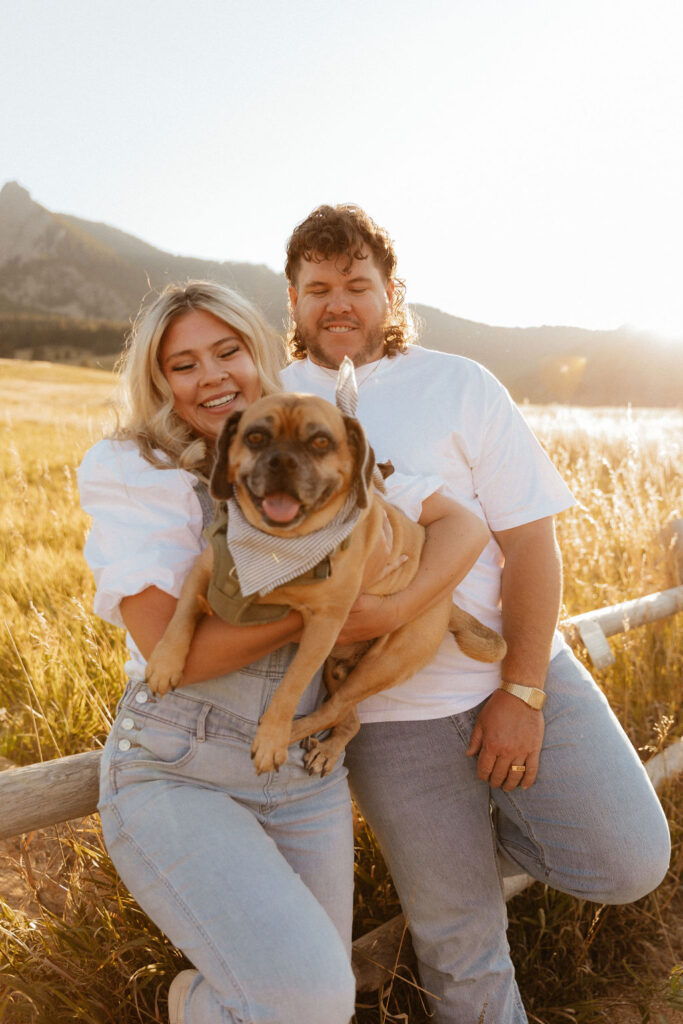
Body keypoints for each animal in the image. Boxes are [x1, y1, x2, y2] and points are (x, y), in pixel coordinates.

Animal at [145, 391, 507, 774]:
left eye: (320, 442)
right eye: (255, 437)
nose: (282, 461)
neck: (278, 547)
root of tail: (448, 604)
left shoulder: (323, 627)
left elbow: (290, 686)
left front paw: (271, 738)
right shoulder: (203, 571)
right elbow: (181, 615)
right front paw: (164, 664)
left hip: (381, 664)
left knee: (332, 710)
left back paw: (289, 735)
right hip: (338, 668)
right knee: (349, 718)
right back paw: (328, 749)